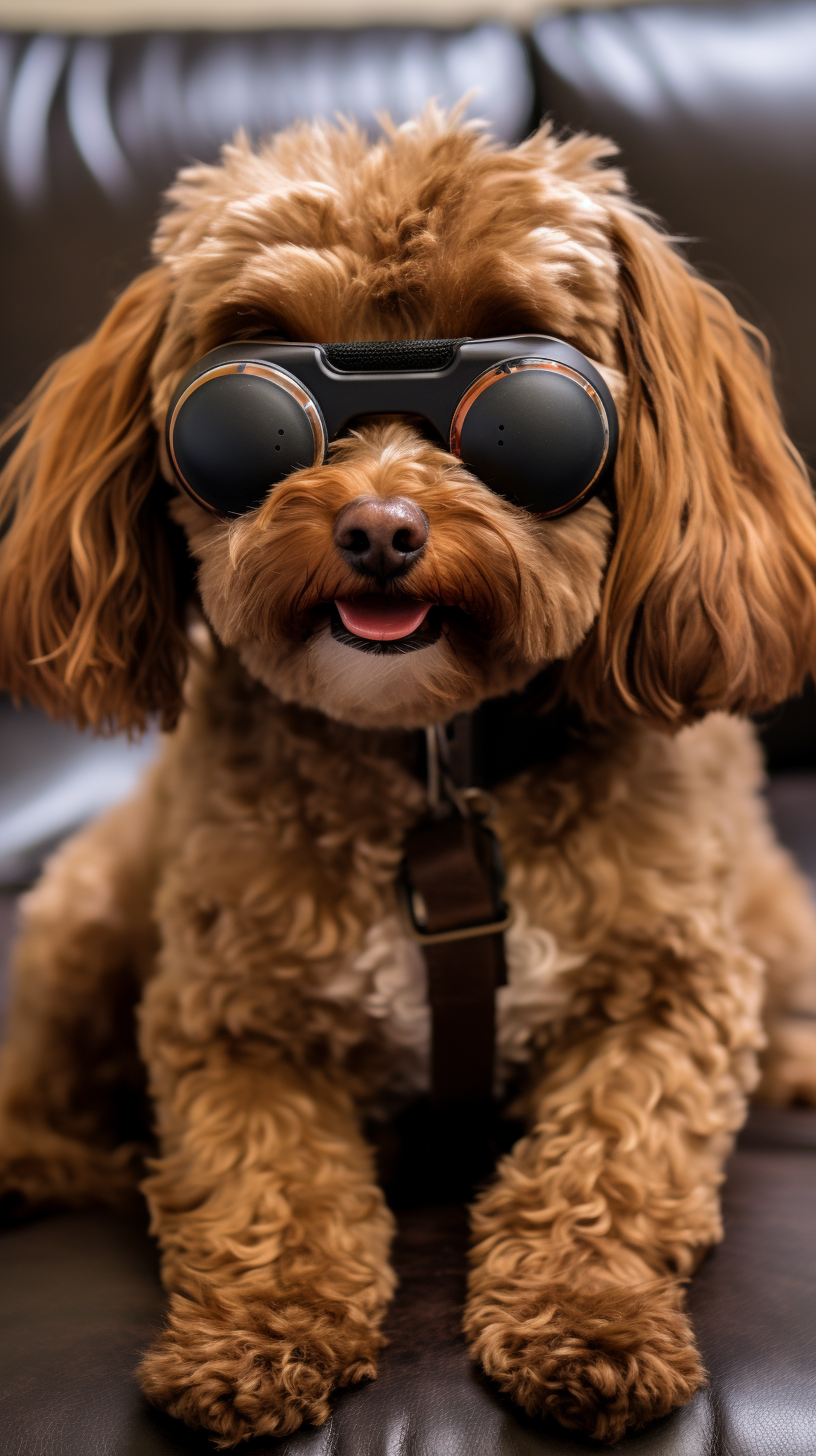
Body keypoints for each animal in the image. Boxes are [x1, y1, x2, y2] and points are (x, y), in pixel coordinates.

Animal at [1, 110, 816, 1444]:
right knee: (44, 1070)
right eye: (248, 403)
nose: (380, 526)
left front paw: (590, 1322)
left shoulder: (674, 993)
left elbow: (610, 1158)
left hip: (771, 917)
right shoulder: (234, 1015)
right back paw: (45, 1160)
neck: (433, 762)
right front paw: (257, 1337)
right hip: (87, 910)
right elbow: (269, 1181)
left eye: (531, 406)